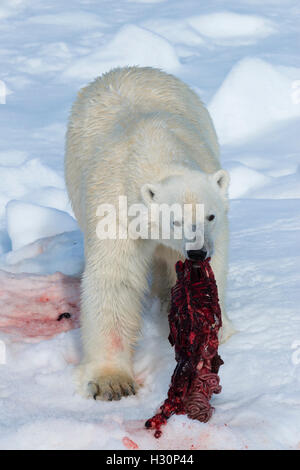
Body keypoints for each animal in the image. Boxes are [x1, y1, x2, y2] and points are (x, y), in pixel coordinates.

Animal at [65, 66, 234, 400]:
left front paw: (214, 329)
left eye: (209, 216)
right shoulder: (115, 210)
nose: (197, 252)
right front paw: (111, 382)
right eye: (175, 220)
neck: (154, 152)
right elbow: (116, 279)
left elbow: (215, 268)